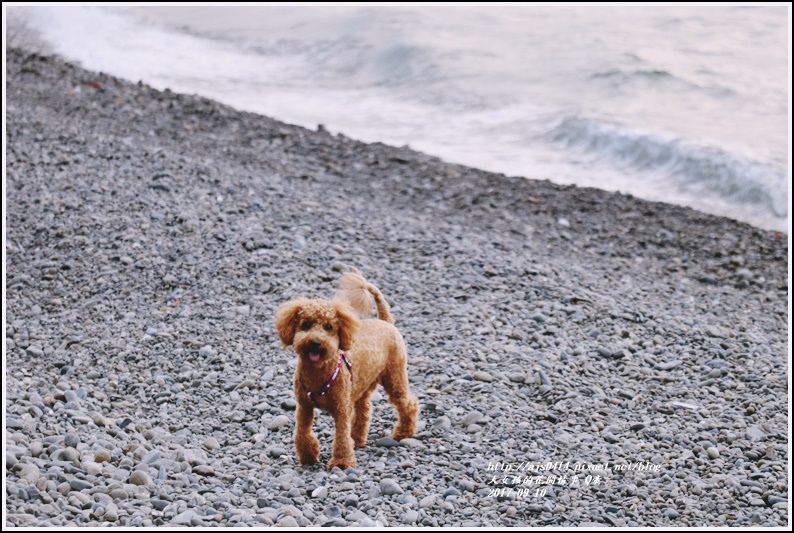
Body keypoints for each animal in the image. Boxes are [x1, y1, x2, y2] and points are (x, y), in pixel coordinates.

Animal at [274, 272, 418, 468]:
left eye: (329, 327)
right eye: (306, 324)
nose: (315, 342)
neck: (318, 372)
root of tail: (385, 321)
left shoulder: (341, 408)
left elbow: (341, 436)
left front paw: (341, 462)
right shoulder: (304, 406)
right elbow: (302, 432)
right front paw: (309, 456)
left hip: (394, 377)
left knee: (407, 403)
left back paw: (404, 432)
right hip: (362, 384)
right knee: (364, 409)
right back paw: (357, 438)